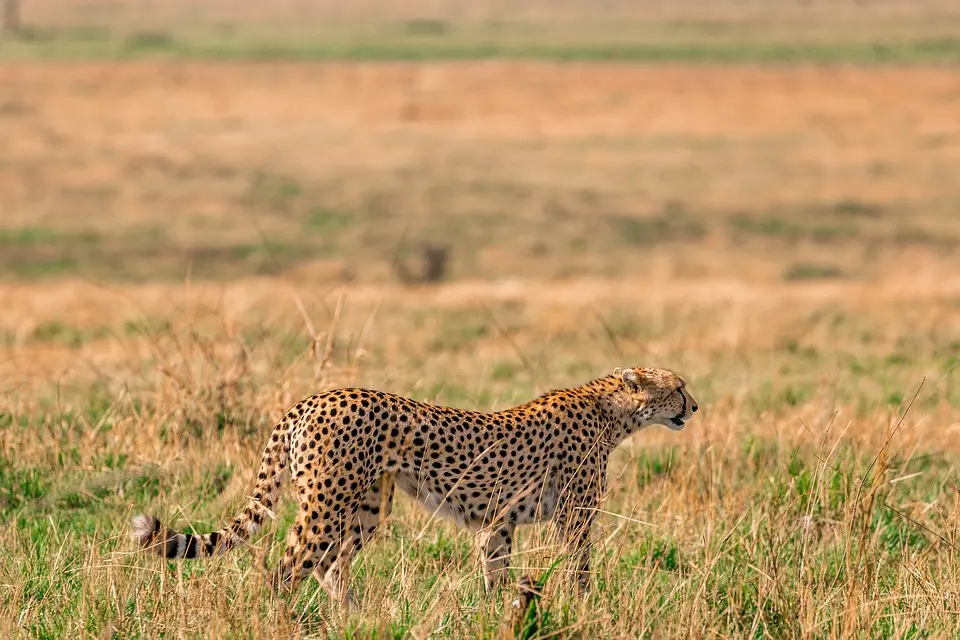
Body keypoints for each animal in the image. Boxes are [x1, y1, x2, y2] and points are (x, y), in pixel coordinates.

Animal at [131, 364, 696, 604]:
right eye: (680, 386)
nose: (695, 405)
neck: (613, 409)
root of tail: (312, 398)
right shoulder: (574, 515)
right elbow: (579, 568)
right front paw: (584, 607)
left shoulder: (497, 521)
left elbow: (496, 574)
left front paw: (497, 614)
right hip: (326, 506)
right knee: (286, 568)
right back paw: (279, 621)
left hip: (366, 506)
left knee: (329, 566)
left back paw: (355, 619)